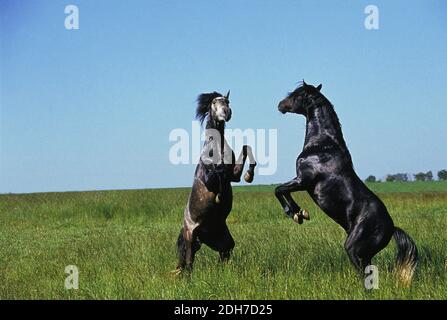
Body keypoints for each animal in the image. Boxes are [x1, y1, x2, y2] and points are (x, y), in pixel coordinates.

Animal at [174, 89, 258, 272]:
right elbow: (217, 174)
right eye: (214, 103)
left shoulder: (233, 176)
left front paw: (249, 175)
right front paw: (219, 196)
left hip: (222, 240)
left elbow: (246, 149)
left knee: (224, 254)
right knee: (189, 264)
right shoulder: (209, 179)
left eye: (227, 101)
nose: (226, 113)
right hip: (191, 238)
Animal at [274, 81, 418, 284]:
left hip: (354, 249)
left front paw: (296, 213)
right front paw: (300, 214)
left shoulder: (303, 181)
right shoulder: (301, 182)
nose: (280, 105)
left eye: (296, 94)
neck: (322, 145)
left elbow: (279, 190)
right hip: (365, 254)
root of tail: (391, 229)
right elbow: (282, 190)